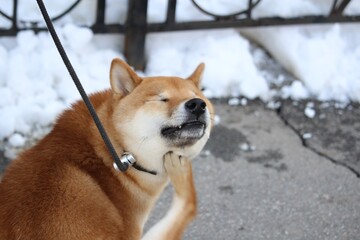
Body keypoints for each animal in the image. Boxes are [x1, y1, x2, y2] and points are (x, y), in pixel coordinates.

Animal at [0, 58, 214, 240]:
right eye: (162, 99)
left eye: (197, 97)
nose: (197, 105)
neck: (114, 153)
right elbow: (189, 205)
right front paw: (183, 174)